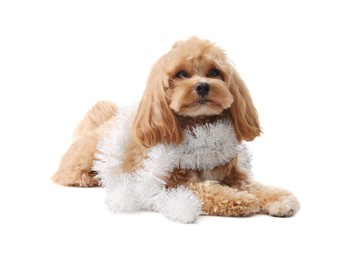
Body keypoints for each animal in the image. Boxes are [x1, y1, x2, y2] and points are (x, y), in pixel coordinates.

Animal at [52, 36, 300, 222]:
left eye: (214, 72)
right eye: (181, 74)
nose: (202, 86)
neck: (201, 129)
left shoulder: (233, 173)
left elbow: (256, 186)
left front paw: (278, 199)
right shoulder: (171, 183)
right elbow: (208, 189)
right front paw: (242, 199)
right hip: (86, 157)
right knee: (66, 173)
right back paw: (89, 179)